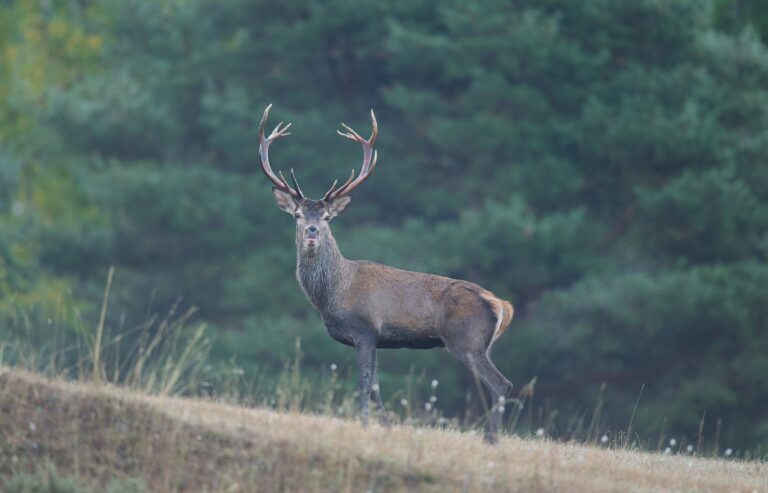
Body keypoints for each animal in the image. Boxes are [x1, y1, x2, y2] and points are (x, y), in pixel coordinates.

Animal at [257, 104, 515, 443]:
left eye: (327, 217)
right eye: (298, 215)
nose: (312, 231)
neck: (334, 293)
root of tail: (503, 305)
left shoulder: (364, 328)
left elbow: (365, 385)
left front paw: (366, 426)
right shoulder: (377, 339)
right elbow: (376, 387)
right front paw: (386, 426)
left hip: (467, 341)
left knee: (501, 384)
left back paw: (491, 439)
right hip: (481, 345)